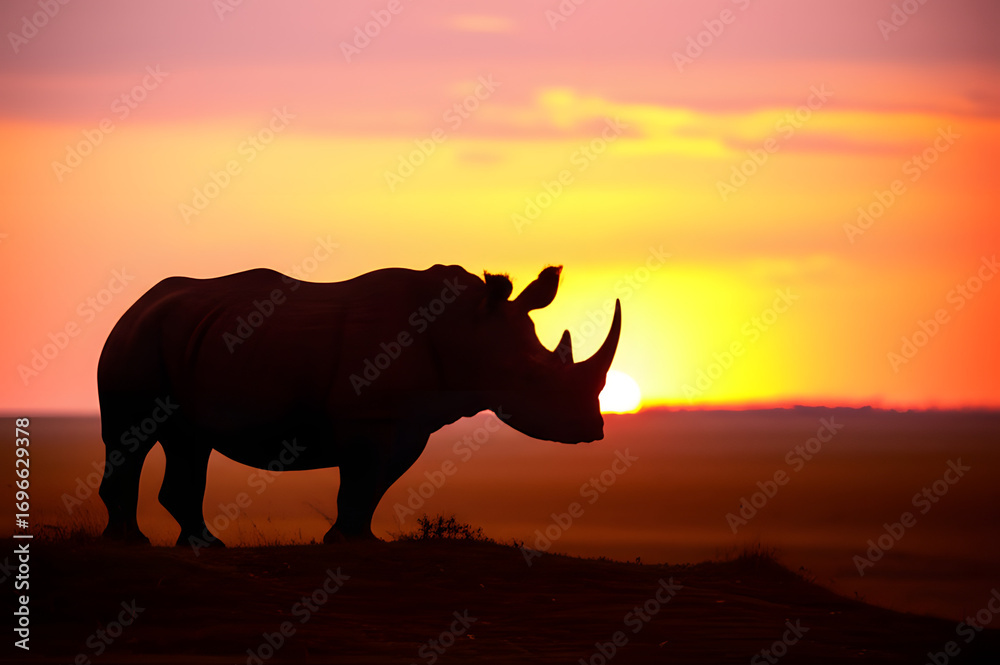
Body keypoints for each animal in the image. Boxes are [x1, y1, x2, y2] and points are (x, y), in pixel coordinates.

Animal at [97, 264, 621, 547]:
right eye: (532, 379)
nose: (592, 429)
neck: (466, 327)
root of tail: (137, 302)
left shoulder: (408, 421)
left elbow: (374, 485)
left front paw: (359, 539)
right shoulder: (369, 417)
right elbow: (361, 480)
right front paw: (349, 543)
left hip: (182, 334)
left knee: (188, 440)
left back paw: (203, 544)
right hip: (137, 338)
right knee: (133, 436)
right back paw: (130, 543)